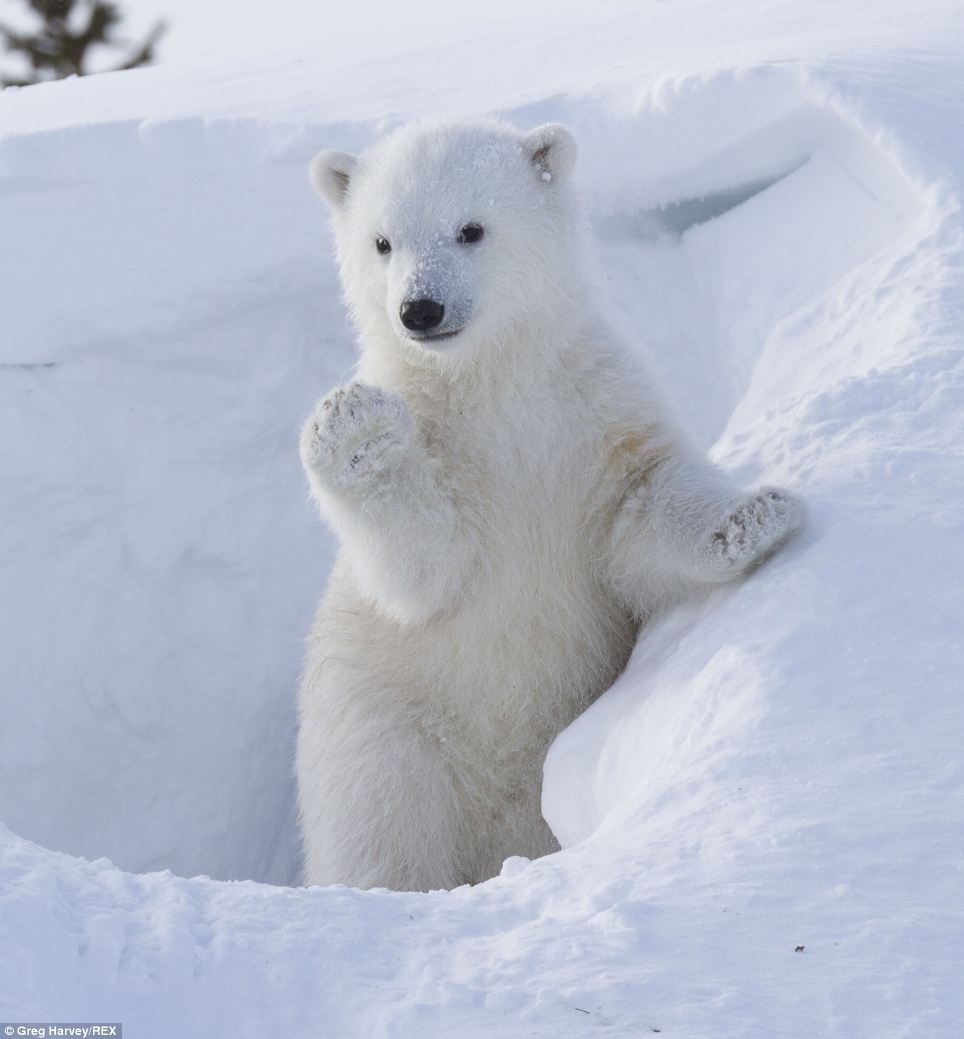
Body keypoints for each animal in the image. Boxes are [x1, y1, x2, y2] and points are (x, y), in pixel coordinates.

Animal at [296, 118, 804, 891]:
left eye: (470, 228)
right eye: (381, 242)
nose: (420, 309)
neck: (493, 384)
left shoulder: (591, 412)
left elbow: (640, 507)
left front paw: (754, 517)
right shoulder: (447, 453)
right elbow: (424, 568)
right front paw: (355, 430)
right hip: (386, 739)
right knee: (384, 838)